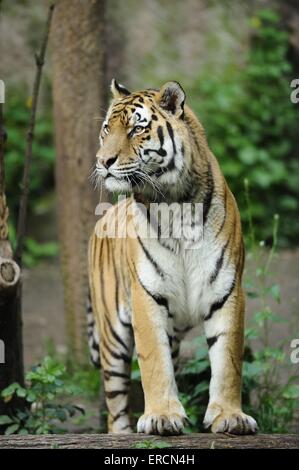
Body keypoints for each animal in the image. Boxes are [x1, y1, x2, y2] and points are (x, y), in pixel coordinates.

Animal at [88, 78, 258, 436]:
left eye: (136, 129)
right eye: (107, 129)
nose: (103, 161)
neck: (174, 203)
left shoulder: (228, 290)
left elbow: (228, 361)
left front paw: (229, 417)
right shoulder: (146, 294)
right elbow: (155, 361)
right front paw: (162, 417)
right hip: (112, 336)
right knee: (115, 404)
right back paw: (122, 432)